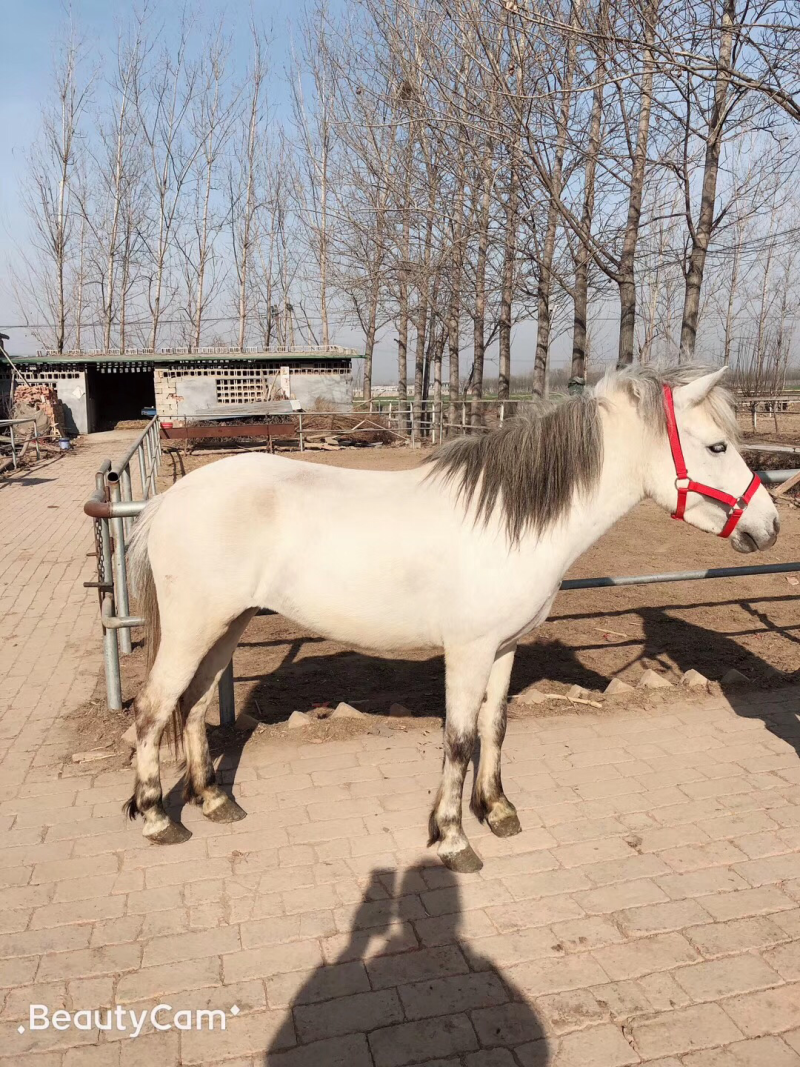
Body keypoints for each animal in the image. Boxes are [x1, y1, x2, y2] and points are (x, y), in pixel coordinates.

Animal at [125, 365, 779, 872]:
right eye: (717, 447)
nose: (769, 526)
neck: (512, 522)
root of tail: (167, 501)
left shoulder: (504, 648)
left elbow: (495, 727)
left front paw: (497, 810)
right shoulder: (468, 651)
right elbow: (459, 739)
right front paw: (453, 838)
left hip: (226, 626)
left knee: (195, 704)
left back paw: (215, 802)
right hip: (193, 628)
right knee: (155, 708)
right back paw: (158, 819)